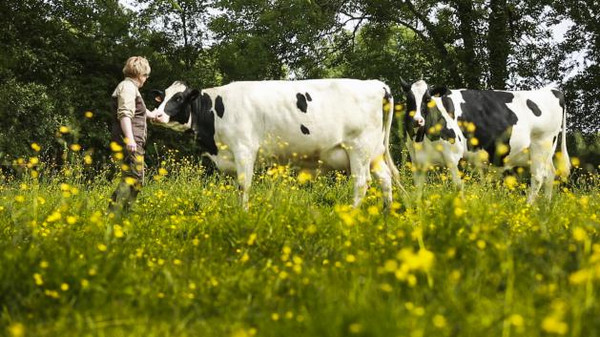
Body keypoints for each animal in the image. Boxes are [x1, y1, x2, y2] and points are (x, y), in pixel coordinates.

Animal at [152, 79, 400, 207]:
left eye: (178, 98)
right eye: (161, 97)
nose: (155, 115)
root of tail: (376, 84)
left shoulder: (244, 150)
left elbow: (244, 186)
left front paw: (242, 213)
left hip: (359, 149)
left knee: (362, 183)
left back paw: (351, 213)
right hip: (373, 153)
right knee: (385, 179)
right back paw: (386, 213)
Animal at [400, 80, 568, 201]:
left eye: (428, 98)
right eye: (409, 99)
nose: (417, 120)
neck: (421, 139)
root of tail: (553, 91)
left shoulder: (452, 156)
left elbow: (458, 186)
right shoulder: (417, 161)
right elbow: (418, 189)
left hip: (541, 145)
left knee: (538, 177)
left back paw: (529, 207)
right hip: (545, 152)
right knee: (550, 174)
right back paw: (545, 207)